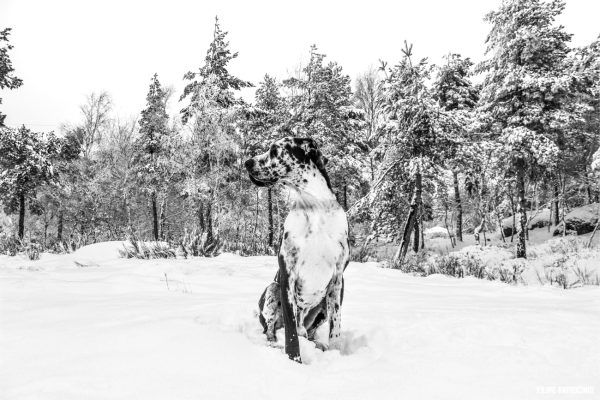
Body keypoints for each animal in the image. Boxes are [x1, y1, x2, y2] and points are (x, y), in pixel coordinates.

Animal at [245, 137, 350, 362]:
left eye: (274, 150)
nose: (247, 162)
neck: (314, 206)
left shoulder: (337, 279)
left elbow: (336, 327)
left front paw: (336, 353)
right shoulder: (287, 275)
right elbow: (290, 333)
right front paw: (295, 361)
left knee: (308, 332)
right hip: (273, 288)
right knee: (272, 329)